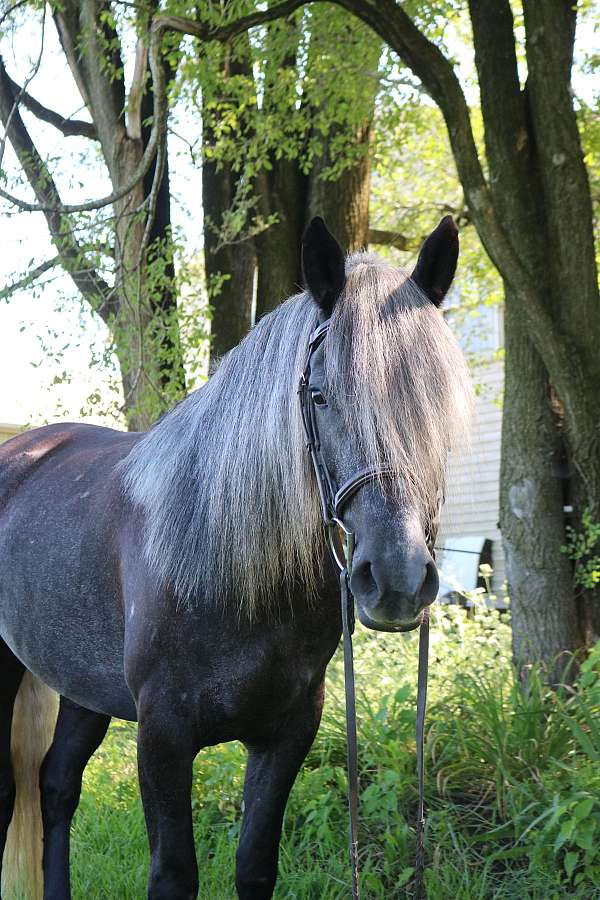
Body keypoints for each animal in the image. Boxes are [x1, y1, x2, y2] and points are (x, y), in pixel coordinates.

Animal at [0, 215, 472, 900]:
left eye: (438, 402)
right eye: (321, 396)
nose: (396, 579)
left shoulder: (286, 733)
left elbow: (254, 865)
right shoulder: (163, 736)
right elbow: (174, 874)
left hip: (82, 684)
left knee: (57, 787)